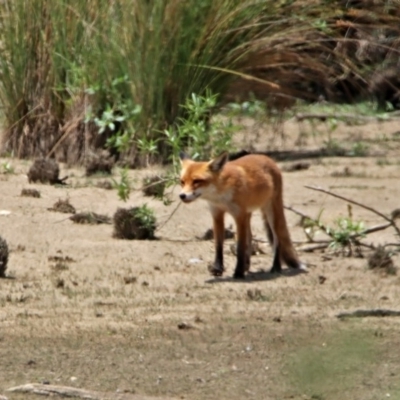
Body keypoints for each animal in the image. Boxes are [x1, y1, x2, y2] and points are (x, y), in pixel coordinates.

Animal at [180, 152, 304, 280]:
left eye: (197, 181)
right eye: (182, 182)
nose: (182, 195)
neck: (220, 196)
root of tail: (267, 158)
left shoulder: (239, 216)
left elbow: (240, 247)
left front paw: (238, 273)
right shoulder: (217, 214)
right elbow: (218, 245)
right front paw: (218, 268)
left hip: (271, 213)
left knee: (276, 239)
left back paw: (276, 267)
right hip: (248, 214)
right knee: (250, 237)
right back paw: (247, 265)